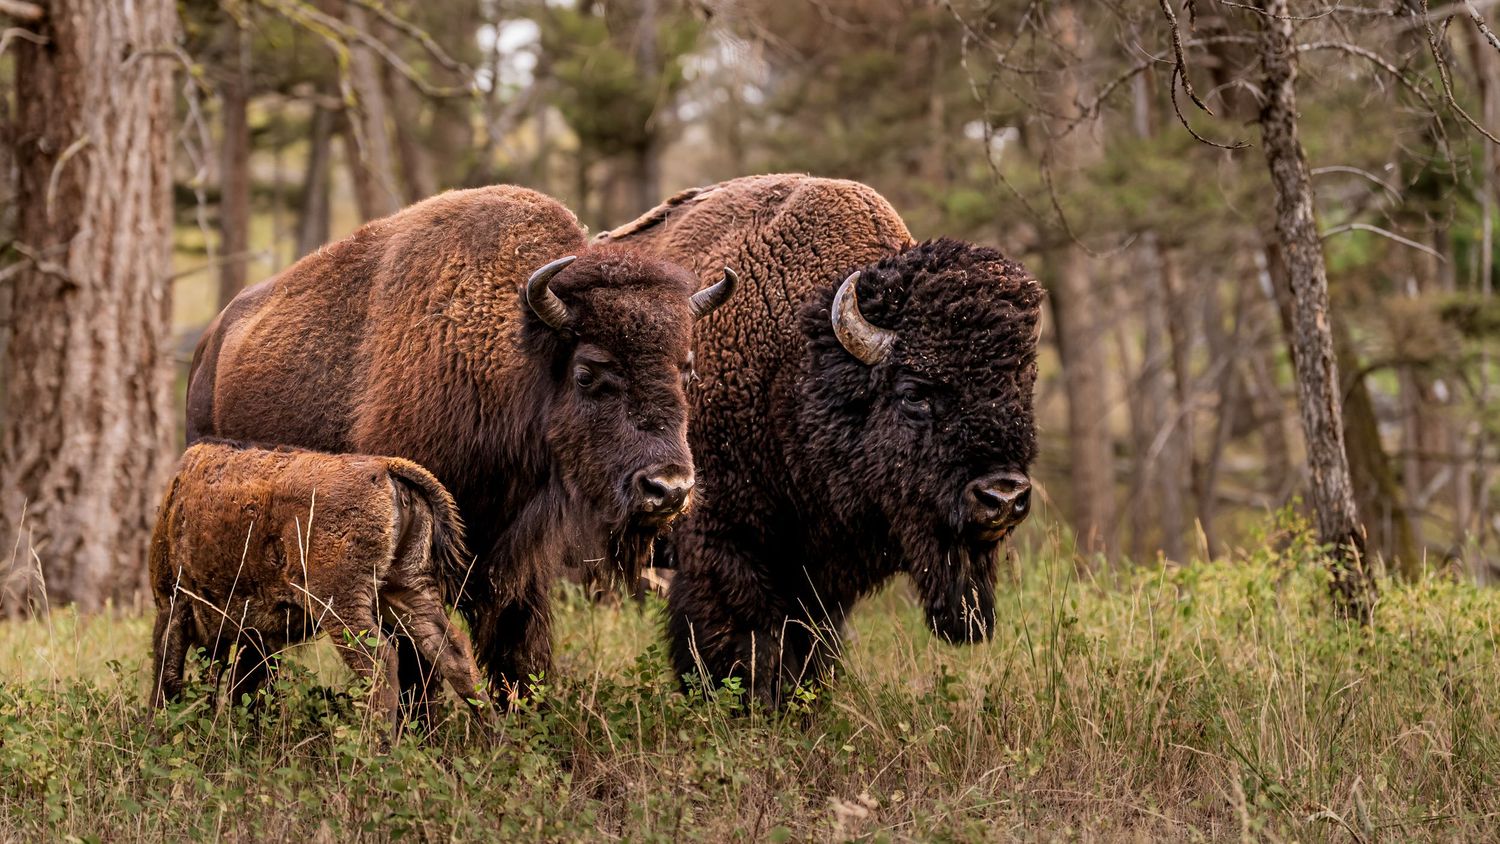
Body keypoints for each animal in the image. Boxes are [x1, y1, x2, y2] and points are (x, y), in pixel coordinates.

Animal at [149, 441, 490, 738]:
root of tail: (386, 468)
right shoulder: (255, 634)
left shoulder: (173, 604)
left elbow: (168, 677)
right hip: (404, 589)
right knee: (453, 651)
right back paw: (495, 739)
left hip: (340, 603)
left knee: (381, 659)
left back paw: (378, 750)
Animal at [185, 186, 735, 704]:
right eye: (587, 374)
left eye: (687, 370)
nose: (668, 488)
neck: (510, 361)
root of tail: (209, 345)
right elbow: (418, 668)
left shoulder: (519, 569)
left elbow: (519, 656)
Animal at [597, 174, 1042, 705]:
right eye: (914, 392)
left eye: (1020, 385)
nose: (1003, 496)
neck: (799, 367)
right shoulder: (723, 542)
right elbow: (748, 638)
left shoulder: (822, 568)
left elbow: (811, 642)